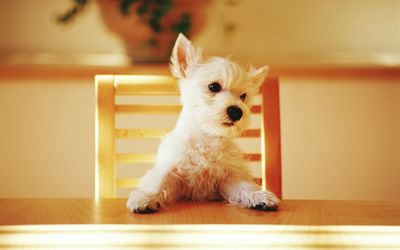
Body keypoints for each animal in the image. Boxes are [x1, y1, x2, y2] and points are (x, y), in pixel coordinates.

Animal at [126, 33, 280, 213]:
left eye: (243, 96)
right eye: (213, 86)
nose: (237, 112)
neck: (206, 137)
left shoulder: (229, 176)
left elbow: (243, 186)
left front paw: (259, 196)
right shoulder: (172, 168)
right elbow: (159, 180)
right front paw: (145, 197)